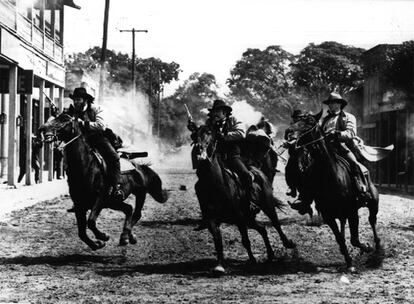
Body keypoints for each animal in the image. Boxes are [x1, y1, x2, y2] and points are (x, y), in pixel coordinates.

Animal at [39, 113, 167, 251]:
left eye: (65, 119)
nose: (43, 129)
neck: (86, 168)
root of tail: (139, 167)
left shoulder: (100, 199)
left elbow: (91, 222)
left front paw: (103, 236)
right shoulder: (79, 205)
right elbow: (81, 233)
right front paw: (97, 244)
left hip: (139, 193)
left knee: (136, 213)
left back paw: (126, 236)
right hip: (113, 202)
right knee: (128, 209)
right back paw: (127, 236)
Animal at [193, 125, 294, 274]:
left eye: (209, 133)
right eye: (195, 134)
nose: (200, 148)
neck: (215, 185)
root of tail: (256, 170)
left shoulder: (239, 217)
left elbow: (245, 240)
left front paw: (252, 261)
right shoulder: (212, 219)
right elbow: (218, 240)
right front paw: (219, 265)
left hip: (266, 206)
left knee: (275, 223)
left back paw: (287, 243)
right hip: (249, 218)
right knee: (262, 228)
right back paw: (270, 255)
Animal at [290, 111, 380, 270]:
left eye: (309, 121)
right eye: (294, 120)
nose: (289, 133)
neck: (331, 175)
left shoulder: (352, 212)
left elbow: (355, 239)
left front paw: (366, 247)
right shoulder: (328, 215)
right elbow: (339, 238)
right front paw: (349, 261)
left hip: (373, 203)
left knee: (372, 220)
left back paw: (378, 248)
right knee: (344, 228)